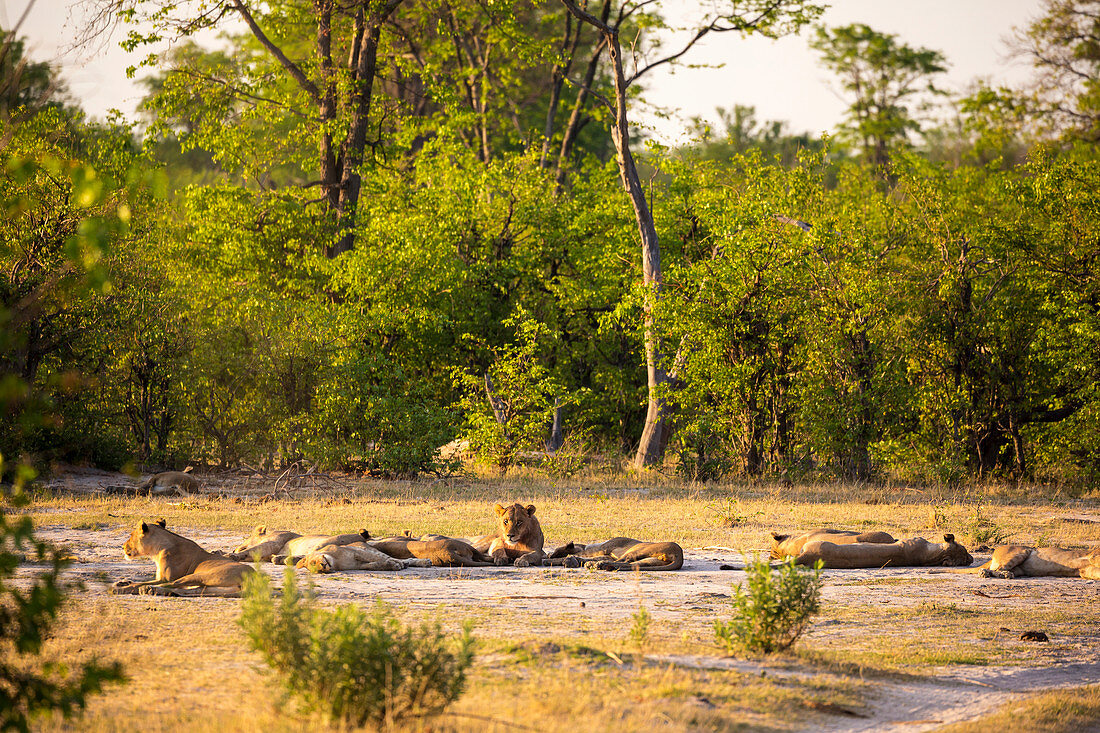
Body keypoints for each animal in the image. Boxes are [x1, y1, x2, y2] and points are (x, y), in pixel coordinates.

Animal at [113, 517, 255, 598]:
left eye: (130, 535)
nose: (122, 546)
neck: (157, 550)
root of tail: (253, 577)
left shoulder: (165, 578)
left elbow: (140, 583)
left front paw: (121, 588)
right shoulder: (159, 578)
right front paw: (122, 582)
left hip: (203, 575)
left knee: (173, 585)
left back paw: (148, 590)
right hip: (212, 587)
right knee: (194, 591)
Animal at [227, 521, 369, 561]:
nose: (233, 549)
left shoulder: (272, 543)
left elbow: (250, 549)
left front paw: (231, 555)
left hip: (326, 541)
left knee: (309, 555)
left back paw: (281, 559)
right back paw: (280, 558)